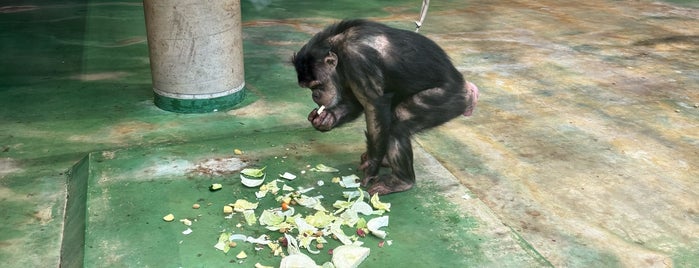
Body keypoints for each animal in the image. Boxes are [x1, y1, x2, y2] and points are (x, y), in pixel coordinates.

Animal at [292, 18, 478, 195]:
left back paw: (400, 180)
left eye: (317, 85)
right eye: (308, 87)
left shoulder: (358, 61)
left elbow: (374, 104)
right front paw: (326, 118)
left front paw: (372, 166)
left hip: (449, 99)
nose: (315, 95)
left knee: (398, 123)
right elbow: (356, 103)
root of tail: (468, 91)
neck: (339, 46)